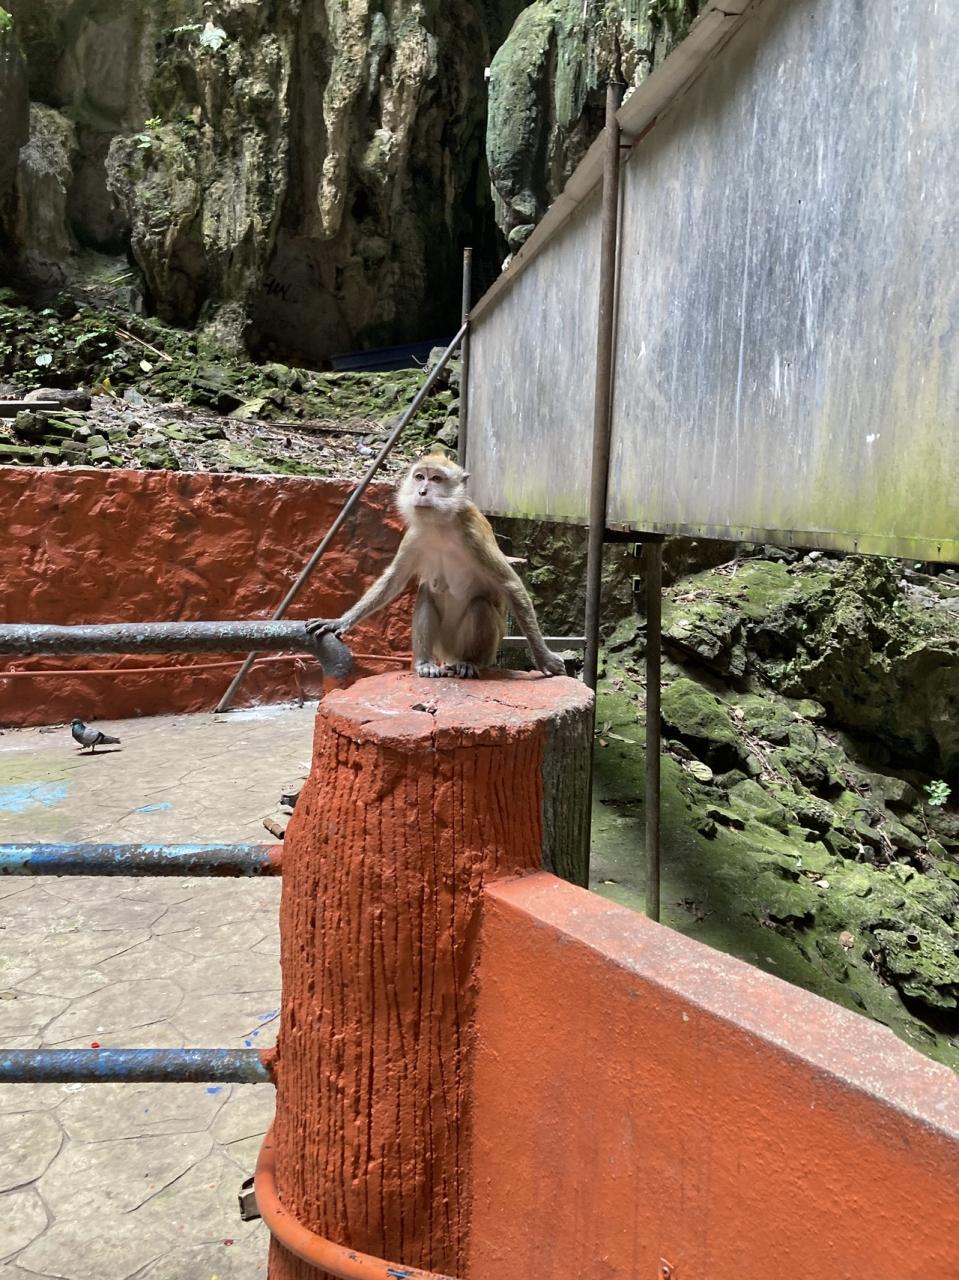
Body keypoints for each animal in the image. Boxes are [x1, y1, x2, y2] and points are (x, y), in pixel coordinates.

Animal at [306, 454, 567, 679]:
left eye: (437, 479)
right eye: (420, 477)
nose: (422, 491)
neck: (440, 524)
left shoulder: (473, 535)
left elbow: (510, 584)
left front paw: (545, 659)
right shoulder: (413, 536)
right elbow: (393, 581)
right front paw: (339, 622)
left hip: (484, 649)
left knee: (480, 605)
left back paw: (469, 662)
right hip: (443, 645)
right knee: (426, 594)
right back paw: (425, 663)